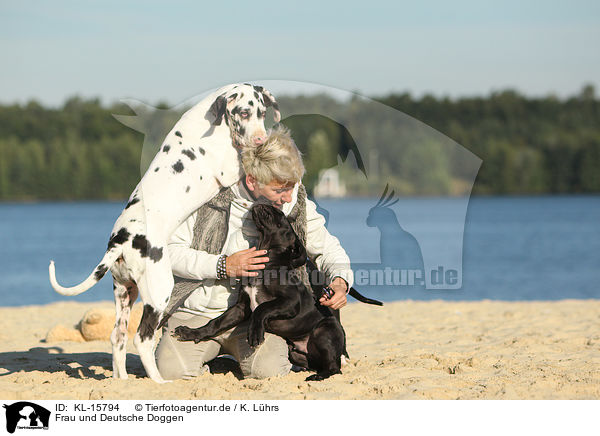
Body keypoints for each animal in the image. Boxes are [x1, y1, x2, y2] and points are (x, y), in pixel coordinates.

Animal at [48, 83, 278, 384]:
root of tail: (119, 242)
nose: (261, 139)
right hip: (159, 292)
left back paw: (123, 381)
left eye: (262, 112)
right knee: (142, 339)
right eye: (243, 112)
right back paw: (159, 381)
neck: (211, 124)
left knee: (117, 337)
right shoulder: (230, 169)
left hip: (125, 294)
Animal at [173, 203, 346, 380]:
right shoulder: (240, 308)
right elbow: (215, 322)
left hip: (324, 331)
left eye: (281, 215)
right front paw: (192, 333)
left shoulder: (291, 301)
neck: (266, 265)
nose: (268, 204)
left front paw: (254, 332)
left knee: (335, 367)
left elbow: (262, 308)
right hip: (295, 353)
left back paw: (319, 376)